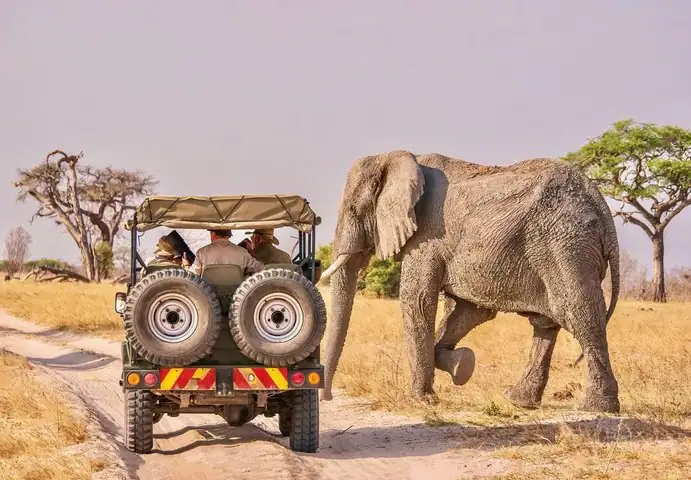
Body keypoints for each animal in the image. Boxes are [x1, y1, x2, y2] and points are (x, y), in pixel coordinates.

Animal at [318, 150, 620, 412]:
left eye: (354, 209)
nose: (327, 397)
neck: (398, 157)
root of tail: (601, 206)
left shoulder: (427, 236)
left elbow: (417, 301)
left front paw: (422, 400)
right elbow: (470, 311)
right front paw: (462, 366)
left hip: (567, 245)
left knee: (579, 315)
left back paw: (597, 407)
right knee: (546, 324)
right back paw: (518, 400)